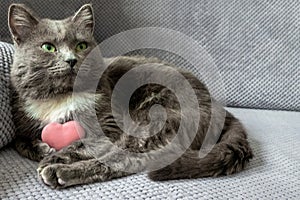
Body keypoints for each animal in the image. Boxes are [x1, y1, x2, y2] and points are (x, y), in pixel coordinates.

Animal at [8, 3, 252, 188]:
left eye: (81, 45)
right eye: (48, 47)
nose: (71, 60)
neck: (60, 96)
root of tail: (219, 107)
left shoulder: (108, 123)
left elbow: (82, 144)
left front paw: (53, 155)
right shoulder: (23, 118)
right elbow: (20, 141)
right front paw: (42, 147)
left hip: (157, 115)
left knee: (127, 158)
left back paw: (58, 172)